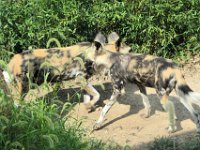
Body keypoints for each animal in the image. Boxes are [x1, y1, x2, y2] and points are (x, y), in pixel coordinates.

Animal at [3, 31, 131, 110]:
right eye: (130, 51)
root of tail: (14, 58)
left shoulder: (82, 80)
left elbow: (89, 97)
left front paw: (89, 107)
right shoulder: (80, 79)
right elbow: (97, 95)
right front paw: (91, 105)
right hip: (24, 87)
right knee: (16, 103)